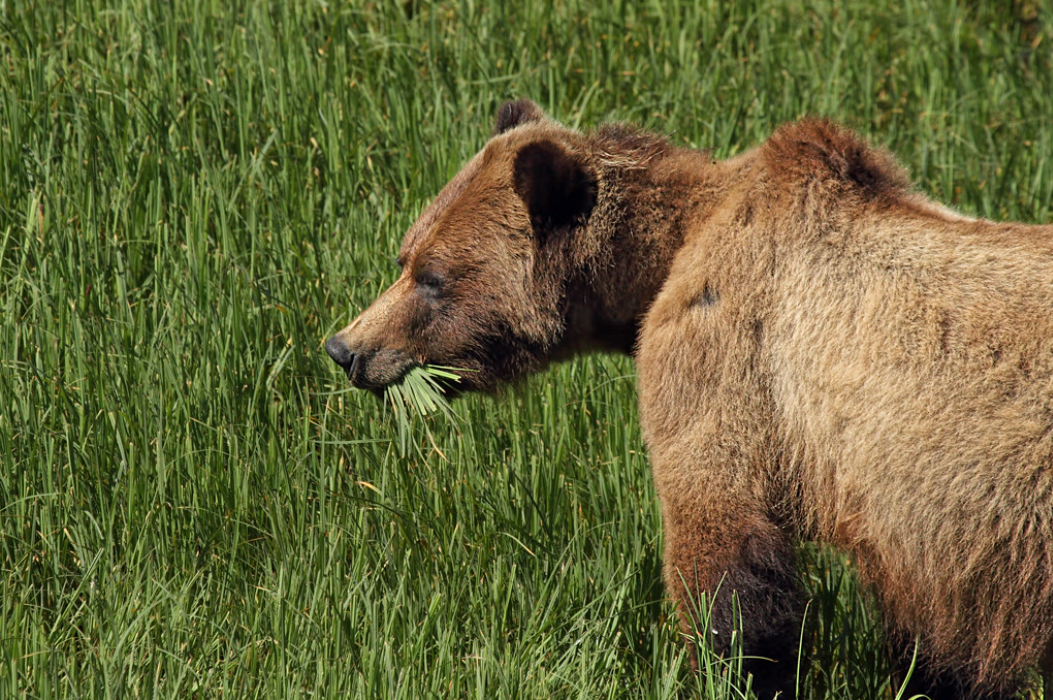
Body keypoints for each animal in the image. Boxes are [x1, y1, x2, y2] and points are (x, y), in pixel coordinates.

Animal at [325, 99, 1053, 700]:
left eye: (433, 277)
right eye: (405, 255)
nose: (346, 348)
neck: (662, 260)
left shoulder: (727, 360)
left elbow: (723, 550)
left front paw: (736, 672)